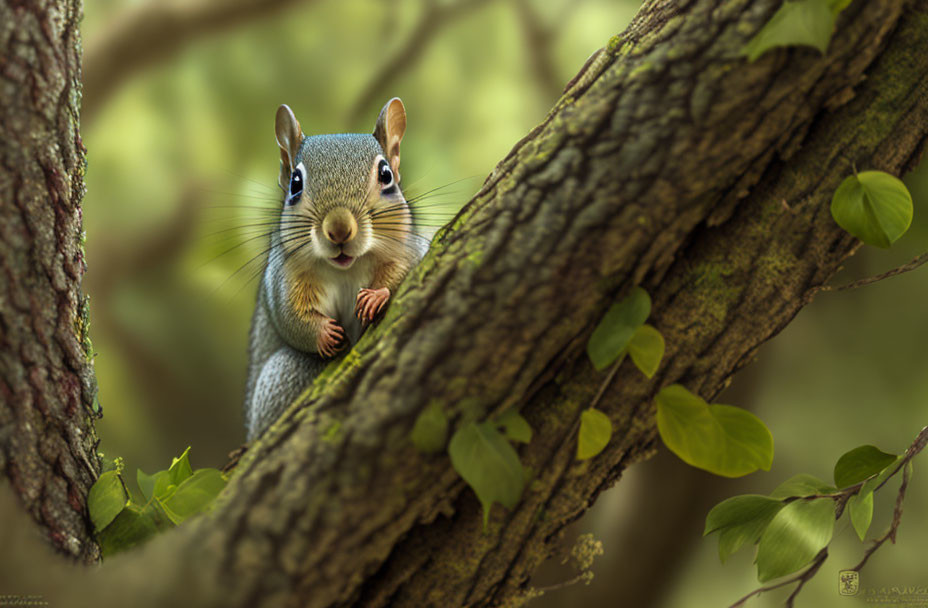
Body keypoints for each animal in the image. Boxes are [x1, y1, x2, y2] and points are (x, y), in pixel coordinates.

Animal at [245, 98, 422, 442]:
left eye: (386, 174)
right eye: (295, 183)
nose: (339, 229)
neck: (346, 270)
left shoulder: (406, 249)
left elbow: (402, 272)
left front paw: (376, 296)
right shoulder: (285, 276)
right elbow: (290, 316)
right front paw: (324, 333)